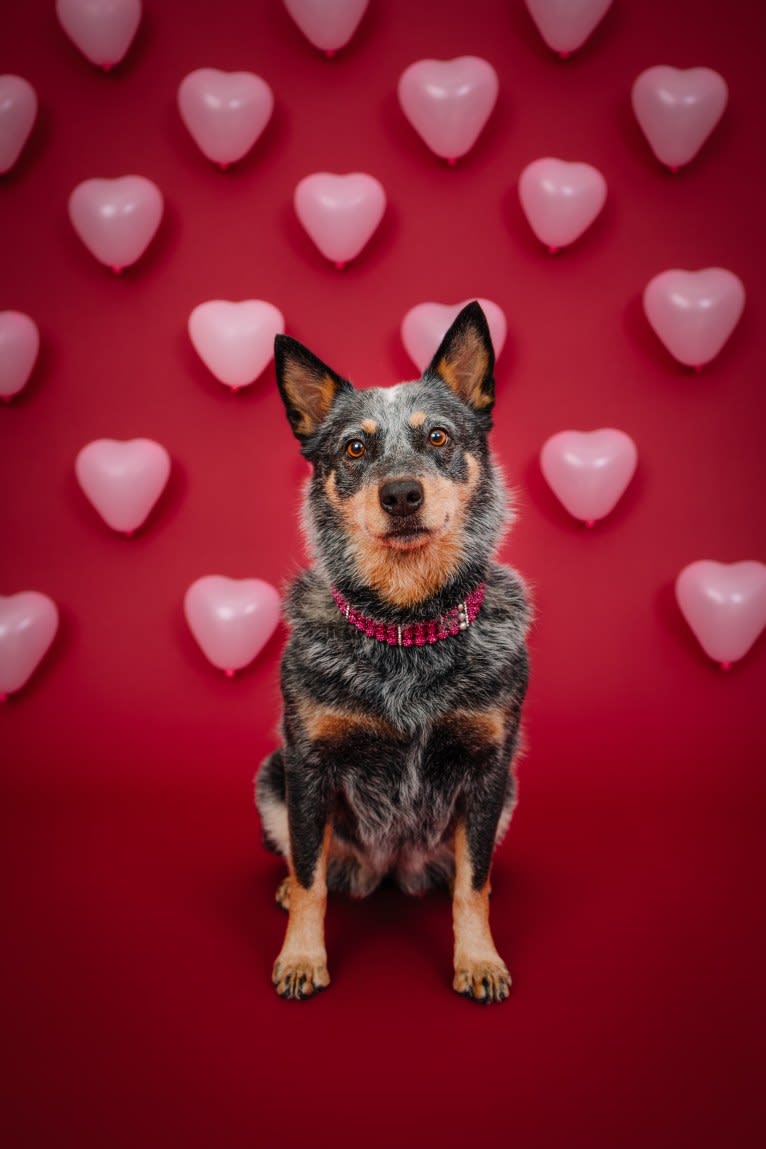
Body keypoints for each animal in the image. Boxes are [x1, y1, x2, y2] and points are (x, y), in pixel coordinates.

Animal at [254, 301, 530, 1001]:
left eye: (437, 437)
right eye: (355, 447)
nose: (401, 493)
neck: (406, 629)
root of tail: (389, 868)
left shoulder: (489, 767)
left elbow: (472, 884)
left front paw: (478, 960)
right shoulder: (309, 765)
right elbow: (310, 876)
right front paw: (301, 957)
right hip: (273, 776)